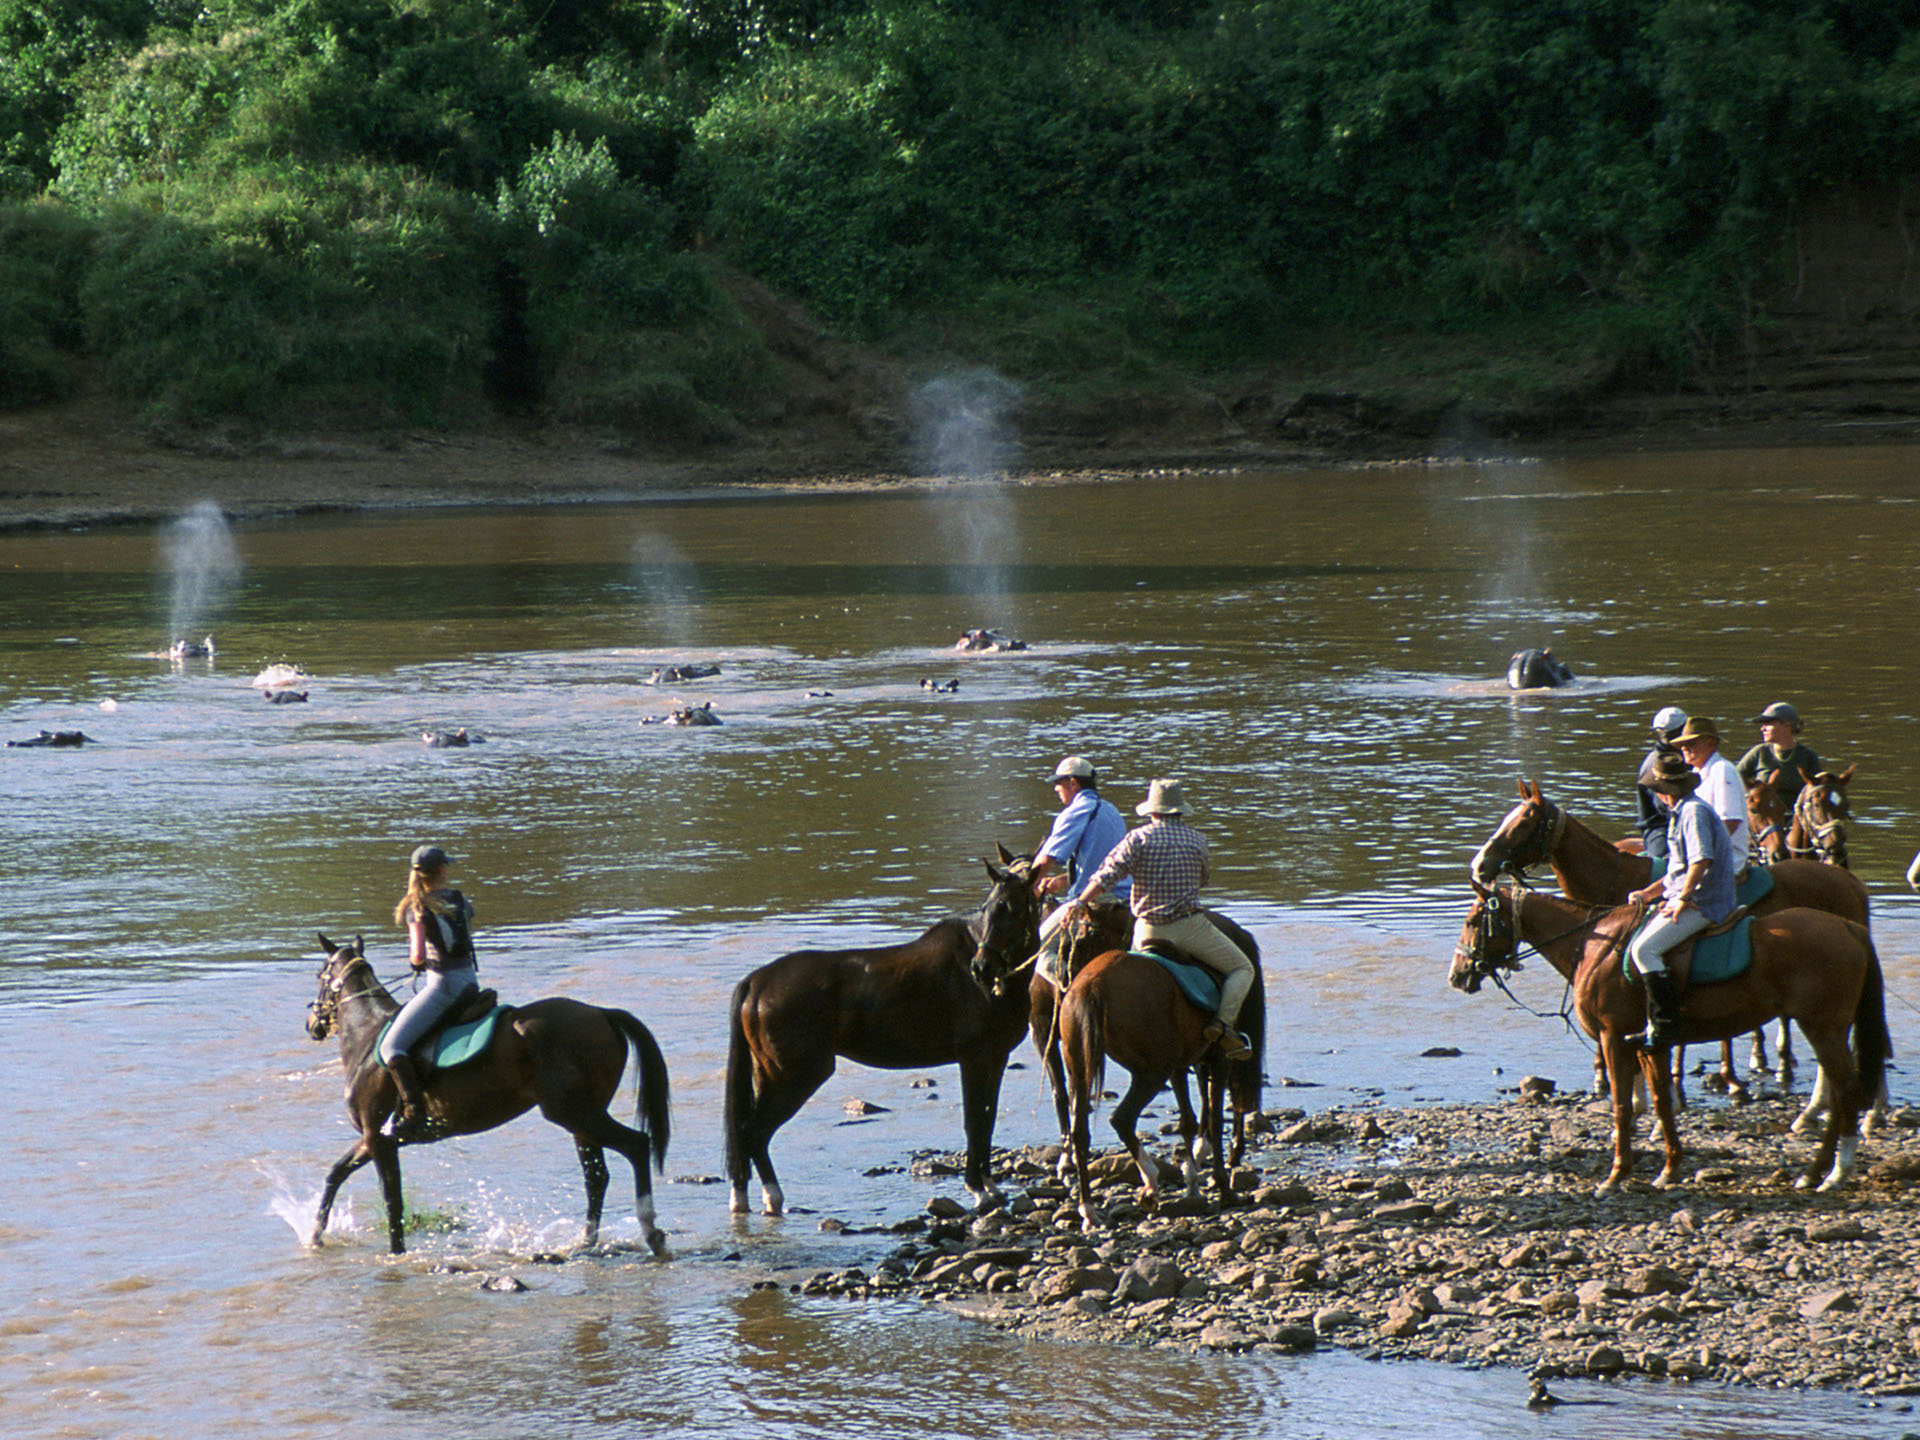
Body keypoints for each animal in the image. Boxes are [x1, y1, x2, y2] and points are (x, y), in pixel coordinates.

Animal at [303, 940, 672, 1259]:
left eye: (320, 974)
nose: (311, 1024)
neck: (367, 1037)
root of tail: (601, 1013)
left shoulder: (379, 1141)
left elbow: (392, 1200)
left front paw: (396, 1254)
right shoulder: (377, 1137)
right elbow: (336, 1173)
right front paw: (315, 1236)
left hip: (574, 1112)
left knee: (636, 1146)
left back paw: (650, 1231)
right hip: (582, 1117)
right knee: (596, 1176)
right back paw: (585, 1242)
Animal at [721, 856, 1052, 1221]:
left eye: (1014, 910)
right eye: (988, 908)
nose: (981, 967)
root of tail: (757, 981)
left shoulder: (995, 1058)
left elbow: (987, 1119)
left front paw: (990, 1187)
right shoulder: (974, 1059)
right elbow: (974, 1120)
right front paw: (978, 1191)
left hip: (769, 1074)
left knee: (749, 1132)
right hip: (795, 1076)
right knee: (754, 1130)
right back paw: (772, 1197)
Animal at [1443, 887, 1881, 1198]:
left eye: (1473, 920)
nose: (1457, 975)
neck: (1597, 945)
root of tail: (1847, 927)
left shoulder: (1614, 1039)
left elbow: (1622, 1107)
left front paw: (1616, 1176)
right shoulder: (1647, 1044)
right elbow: (1660, 1101)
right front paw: (1669, 1170)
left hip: (1822, 1027)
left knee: (1845, 1091)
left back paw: (1834, 1173)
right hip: (1824, 1029)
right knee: (1838, 1091)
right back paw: (1815, 1172)